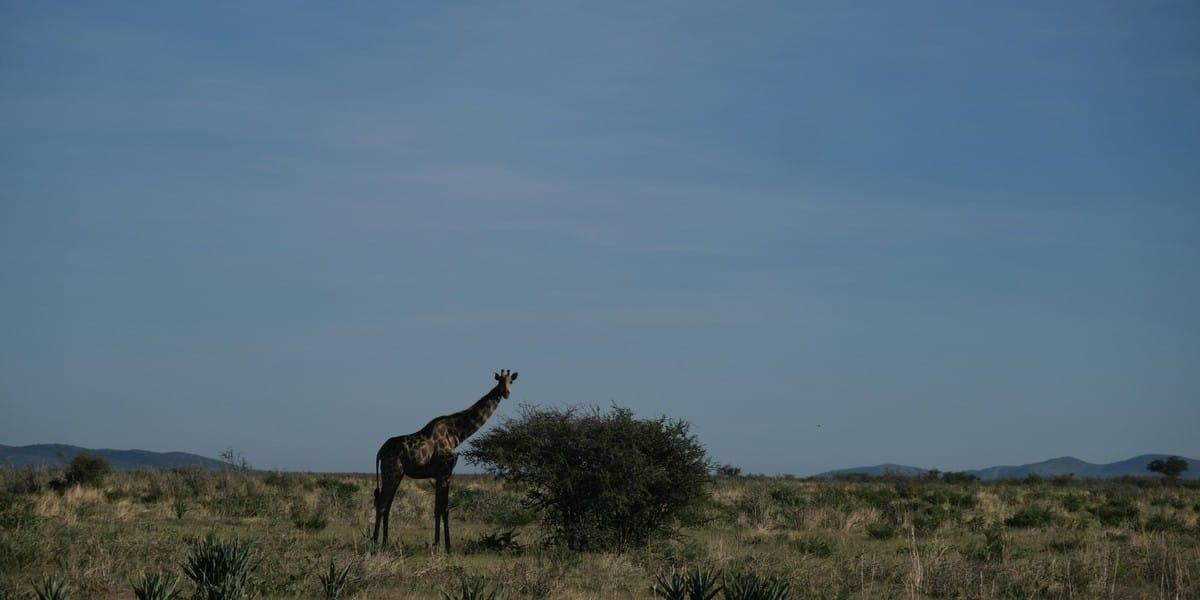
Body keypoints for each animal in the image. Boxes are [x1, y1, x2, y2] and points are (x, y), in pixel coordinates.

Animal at [372, 369, 518, 551]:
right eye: (500, 381)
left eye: (511, 381)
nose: (506, 393)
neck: (456, 434)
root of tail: (379, 452)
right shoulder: (445, 472)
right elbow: (444, 509)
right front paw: (446, 547)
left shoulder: (440, 474)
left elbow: (439, 509)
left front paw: (438, 544)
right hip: (392, 472)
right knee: (381, 503)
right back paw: (374, 542)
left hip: (396, 475)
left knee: (387, 504)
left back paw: (385, 542)